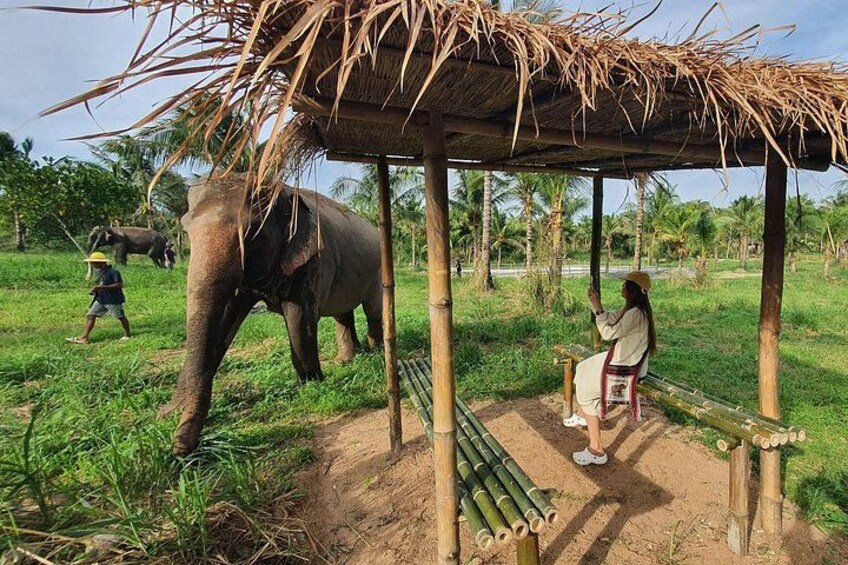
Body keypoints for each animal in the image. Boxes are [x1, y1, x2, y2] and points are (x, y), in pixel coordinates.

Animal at [158, 174, 383, 455]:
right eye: (186, 230)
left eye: (252, 233)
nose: (179, 447)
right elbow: (225, 319)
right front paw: (168, 412)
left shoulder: (313, 260)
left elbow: (299, 319)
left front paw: (312, 386)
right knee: (343, 314)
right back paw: (347, 360)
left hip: (377, 268)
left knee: (372, 309)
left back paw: (375, 351)